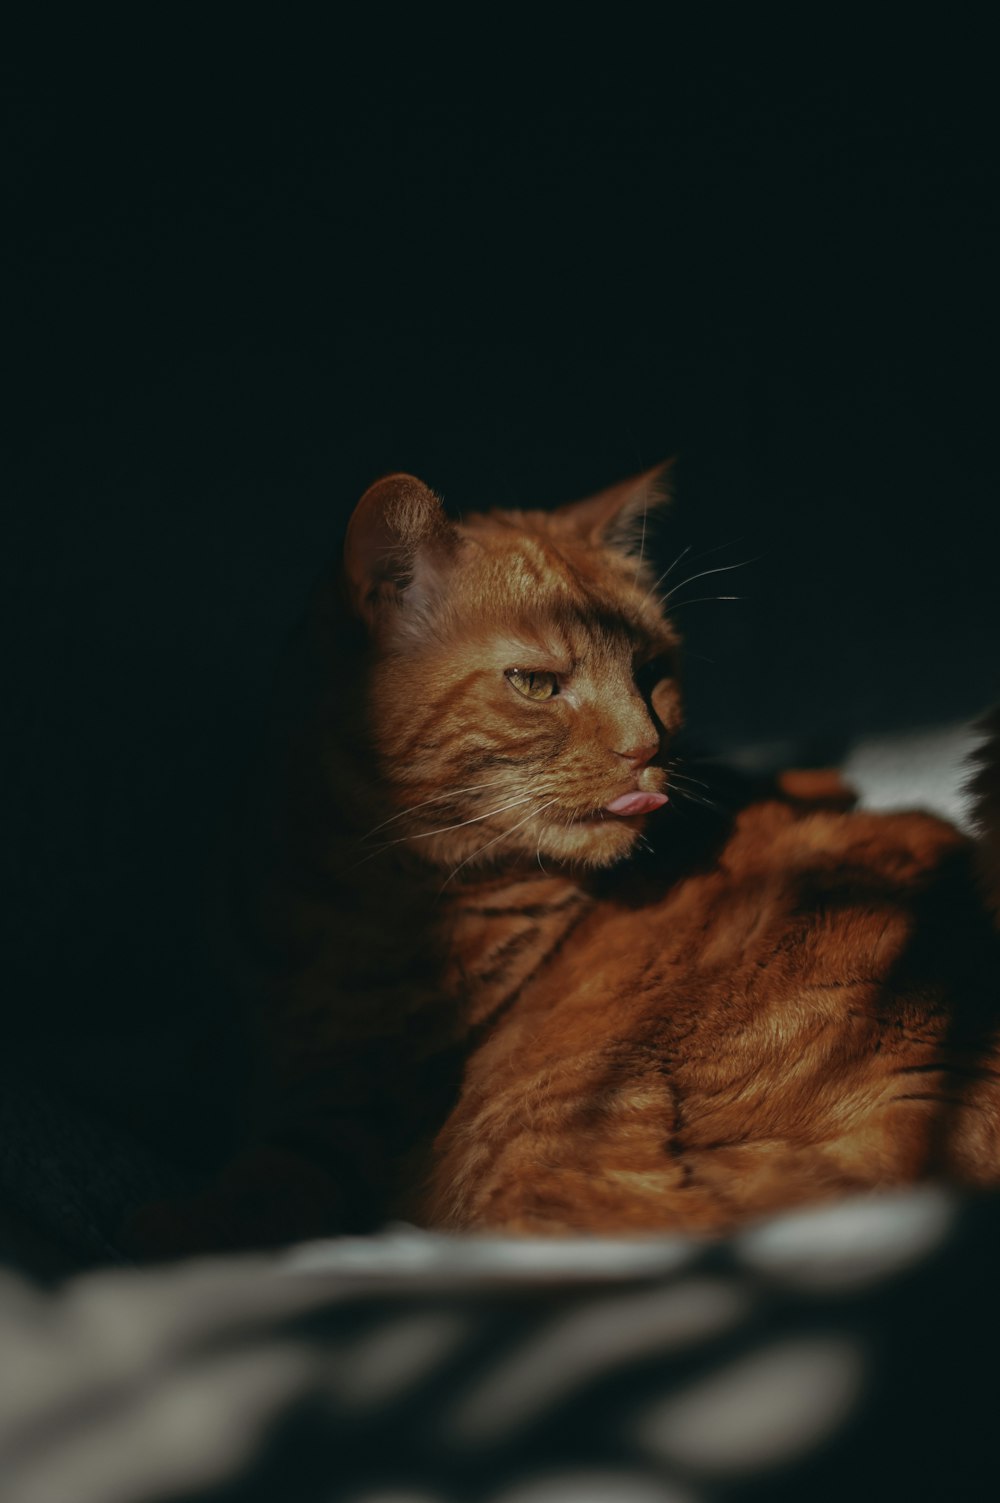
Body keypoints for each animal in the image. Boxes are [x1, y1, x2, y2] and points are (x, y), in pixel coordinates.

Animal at [130, 471, 998, 1256]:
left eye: (651, 673)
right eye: (537, 684)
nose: (647, 749)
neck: (343, 895)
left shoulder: (359, 1109)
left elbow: (270, 1179)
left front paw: (168, 1227)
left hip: (533, 1140)